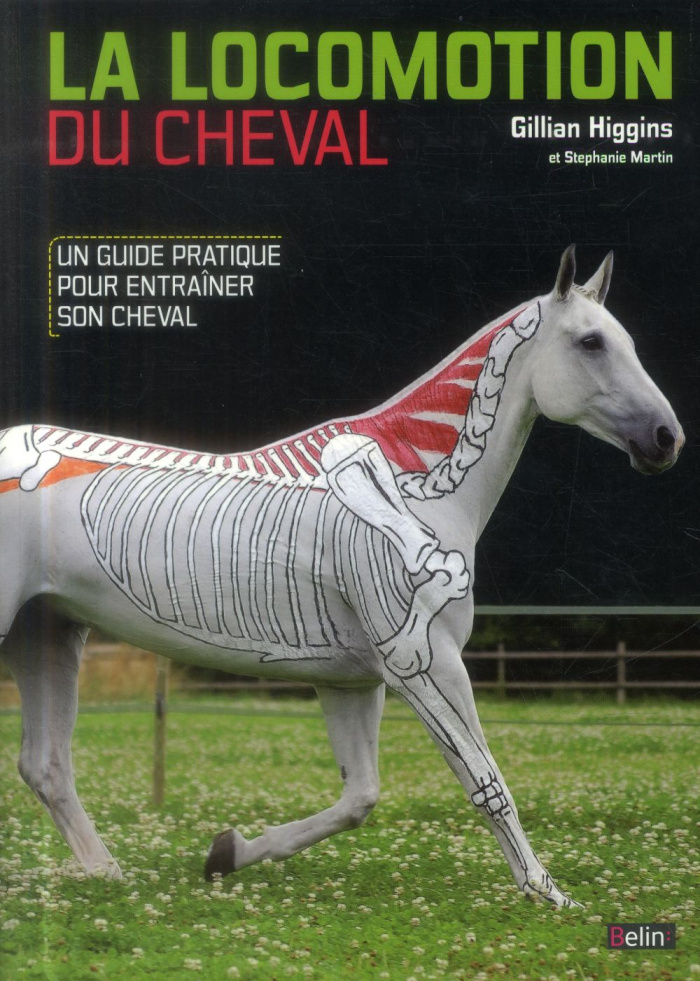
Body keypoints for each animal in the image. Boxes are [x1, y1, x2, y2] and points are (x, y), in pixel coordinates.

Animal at [0, 246, 683, 908]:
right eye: (590, 342)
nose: (666, 438)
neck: (421, 488)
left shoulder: (350, 681)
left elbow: (360, 798)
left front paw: (227, 854)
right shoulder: (425, 663)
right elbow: (485, 780)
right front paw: (547, 892)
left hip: (48, 634)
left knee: (46, 766)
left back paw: (106, 874)